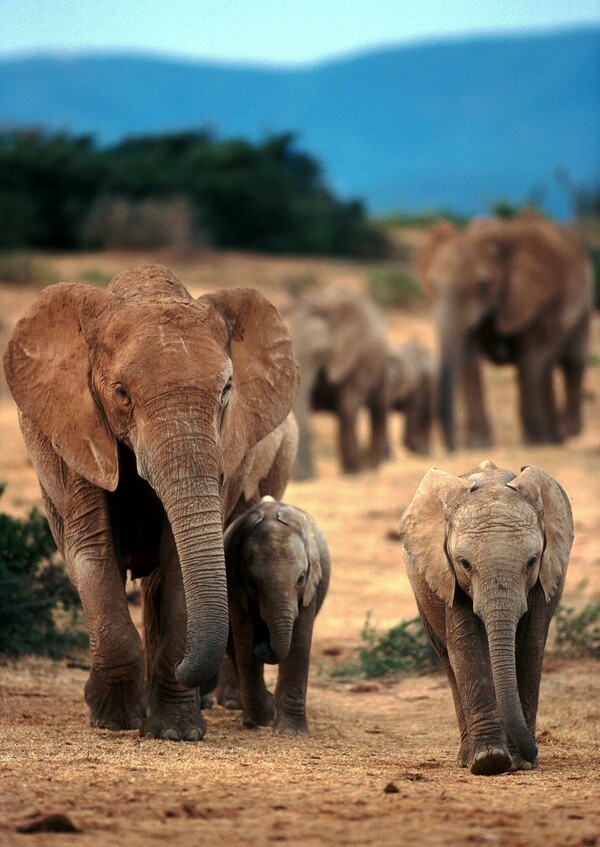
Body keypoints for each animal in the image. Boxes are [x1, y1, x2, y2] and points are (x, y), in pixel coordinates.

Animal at [1, 264, 298, 744]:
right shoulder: (77, 432)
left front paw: (177, 731)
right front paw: (115, 719)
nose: (188, 670)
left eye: (226, 390)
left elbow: (177, 560)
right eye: (121, 393)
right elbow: (94, 551)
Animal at [217, 496, 328, 736]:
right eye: (252, 584)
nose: (264, 647)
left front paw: (291, 733)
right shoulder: (235, 583)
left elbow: (299, 640)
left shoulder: (310, 589)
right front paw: (266, 716)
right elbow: (245, 639)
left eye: (301, 578)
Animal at [284, 288, 392, 480]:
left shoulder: (354, 358)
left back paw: (371, 467)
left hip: (381, 363)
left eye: (319, 353)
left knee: (377, 407)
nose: (303, 478)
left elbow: (348, 406)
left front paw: (354, 472)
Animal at [400, 460, 576, 780]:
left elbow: (529, 647)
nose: (534, 751)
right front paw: (489, 761)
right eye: (464, 563)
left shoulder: (544, 580)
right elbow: (466, 646)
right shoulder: (448, 575)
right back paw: (466, 758)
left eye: (532, 561)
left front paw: (519, 762)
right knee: (448, 661)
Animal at [420, 214, 592, 450]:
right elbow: (468, 360)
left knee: (571, 361)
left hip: (584, 303)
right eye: (433, 286)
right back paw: (554, 438)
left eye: (484, 286)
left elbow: (531, 360)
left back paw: (566, 432)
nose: (452, 447)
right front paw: (477, 445)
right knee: (549, 367)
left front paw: (533, 443)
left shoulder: (534, 300)